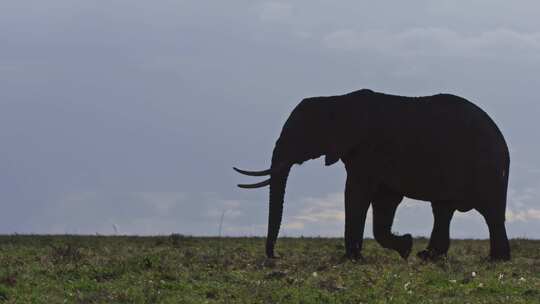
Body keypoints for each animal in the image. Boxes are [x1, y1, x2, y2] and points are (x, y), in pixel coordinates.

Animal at [233, 88, 510, 262]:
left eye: (302, 134)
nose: (275, 256)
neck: (336, 100)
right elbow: (385, 200)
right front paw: (406, 247)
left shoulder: (369, 150)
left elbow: (357, 193)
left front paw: (352, 259)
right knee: (443, 209)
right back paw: (428, 257)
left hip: (486, 167)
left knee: (490, 212)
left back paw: (496, 260)